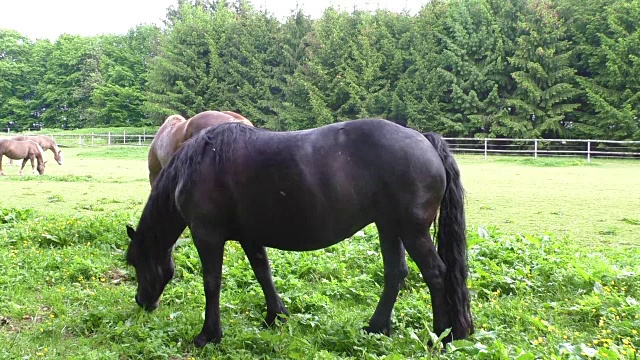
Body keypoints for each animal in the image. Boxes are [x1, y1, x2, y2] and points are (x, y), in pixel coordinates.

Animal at [126, 119, 476, 348]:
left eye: (136, 263)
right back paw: (377, 329)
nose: (142, 302)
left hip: (411, 231)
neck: (199, 163)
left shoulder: (207, 235)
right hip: (389, 227)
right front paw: (275, 317)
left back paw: (441, 337)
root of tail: (424, 139)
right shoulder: (250, 236)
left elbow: (212, 284)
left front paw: (208, 335)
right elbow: (263, 272)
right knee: (396, 273)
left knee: (436, 274)